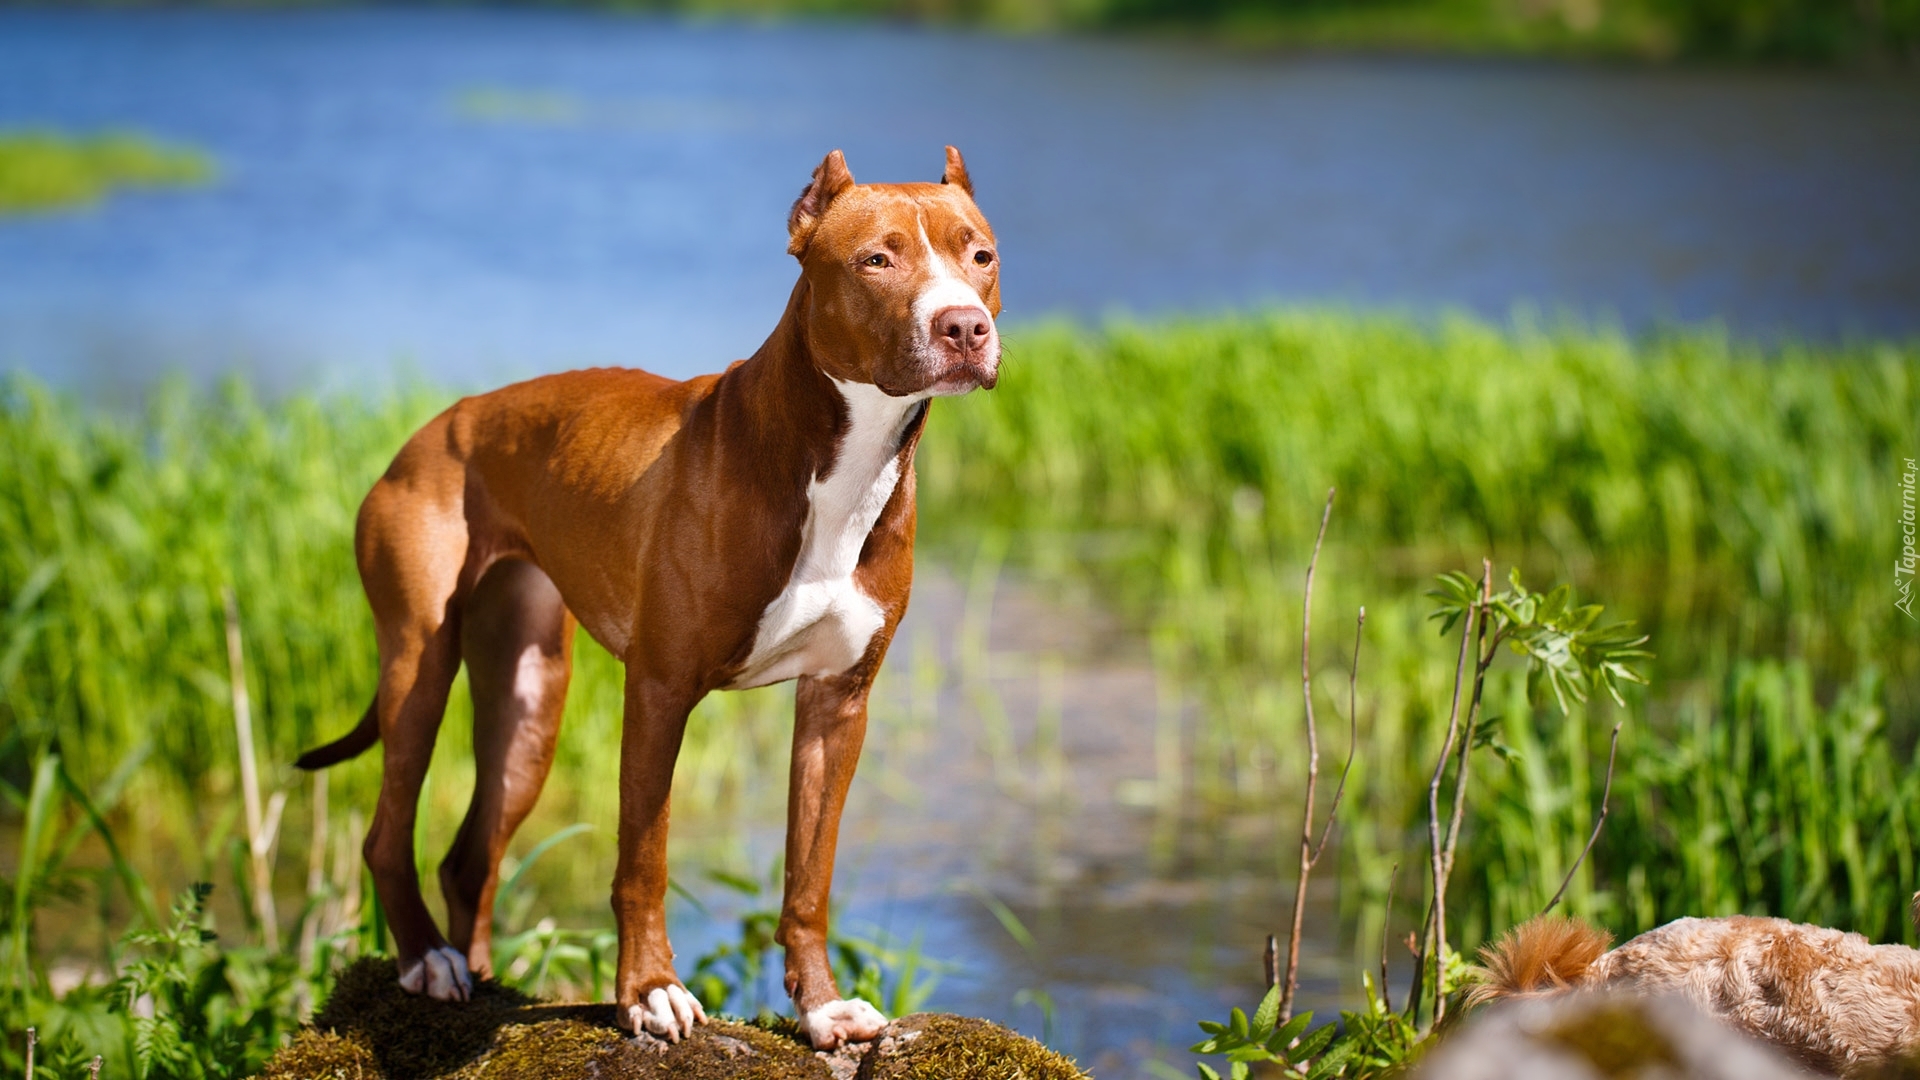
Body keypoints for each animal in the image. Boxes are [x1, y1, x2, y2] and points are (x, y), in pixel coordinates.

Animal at [295, 145, 1006, 1045]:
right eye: (877, 259)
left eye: (979, 257)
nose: (964, 326)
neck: (835, 454)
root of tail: (431, 430)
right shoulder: (661, 690)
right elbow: (645, 855)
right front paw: (649, 992)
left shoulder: (838, 703)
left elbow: (809, 874)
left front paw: (821, 1007)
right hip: (418, 668)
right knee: (388, 832)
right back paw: (429, 962)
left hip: (528, 700)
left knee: (470, 854)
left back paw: (481, 974)